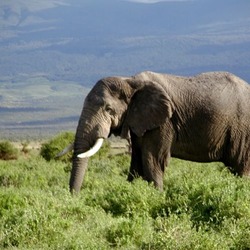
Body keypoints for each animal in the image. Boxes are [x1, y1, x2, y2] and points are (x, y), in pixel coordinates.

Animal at [68, 71, 250, 193]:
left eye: (108, 109)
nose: (75, 197)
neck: (130, 81)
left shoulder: (164, 122)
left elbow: (152, 160)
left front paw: (157, 197)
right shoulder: (138, 120)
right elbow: (136, 162)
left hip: (243, 129)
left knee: (241, 166)